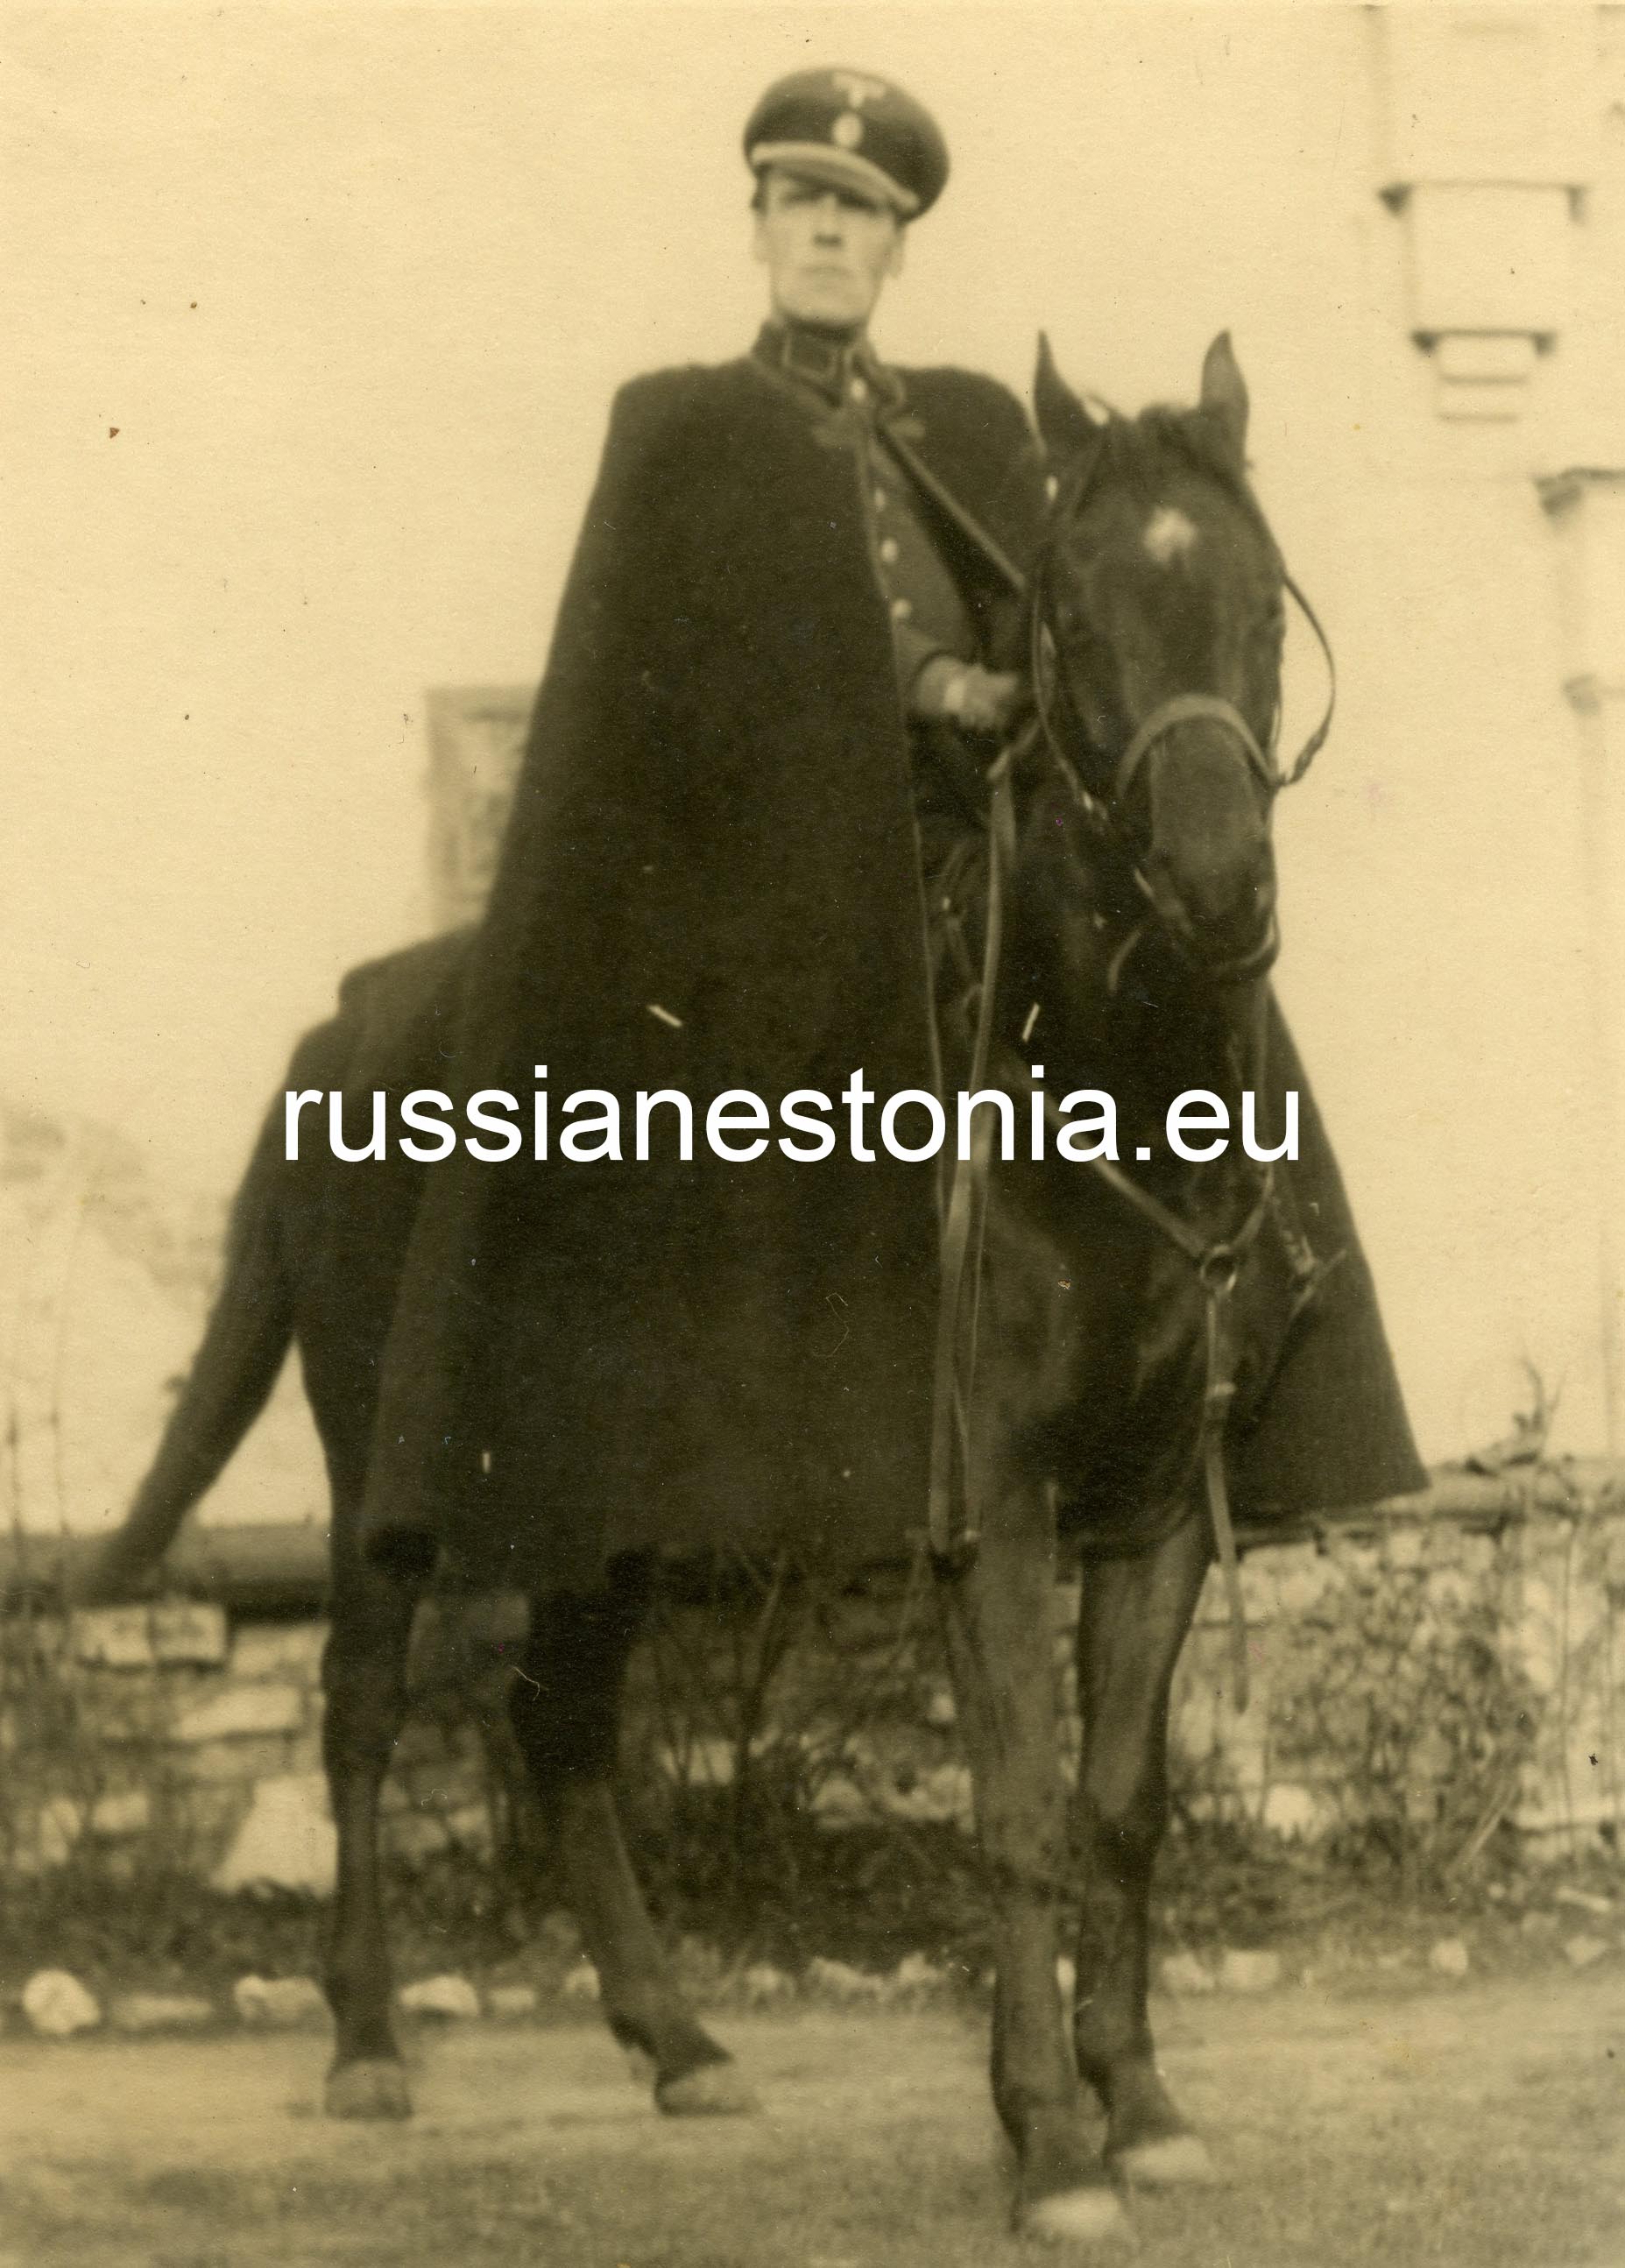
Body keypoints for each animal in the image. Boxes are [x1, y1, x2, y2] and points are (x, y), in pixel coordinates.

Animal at [82, 334, 1366, 2249]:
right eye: (1068, 613)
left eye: (1259, 603)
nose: (1213, 891)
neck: (1105, 1081)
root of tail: (344, 1020)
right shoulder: (989, 1498)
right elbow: (1016, 1805)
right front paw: (1049, 2142)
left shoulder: (1158, 1502)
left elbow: (1126, 1803)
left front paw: (1141, 2102)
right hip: (384, 1464)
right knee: (367, 1705)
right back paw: (371, 2040)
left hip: (604, 1495)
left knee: (559, 1717)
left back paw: (674, 2037)